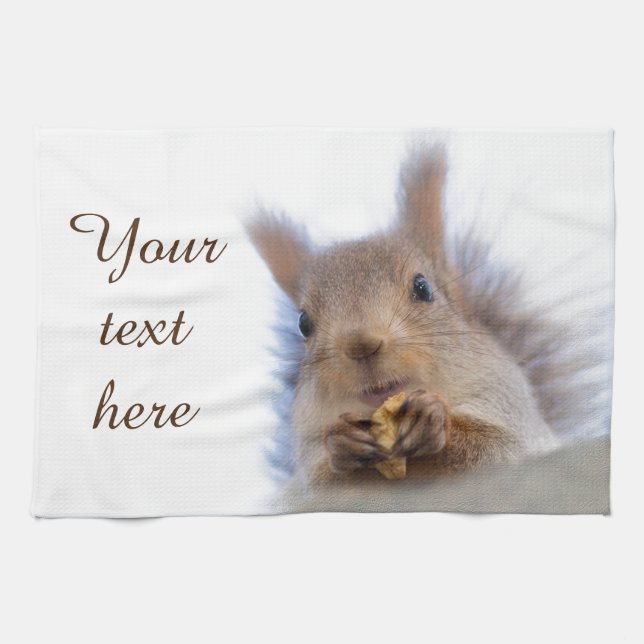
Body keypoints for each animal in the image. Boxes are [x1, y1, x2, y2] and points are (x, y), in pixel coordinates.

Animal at [245, 145, 606, 498]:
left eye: (423, 287)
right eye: (303, 323)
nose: (361, 345)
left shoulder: (512, 416)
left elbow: (495, 446)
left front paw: (431, 418)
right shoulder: (308, 468)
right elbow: (322, 478)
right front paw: (341, 441)